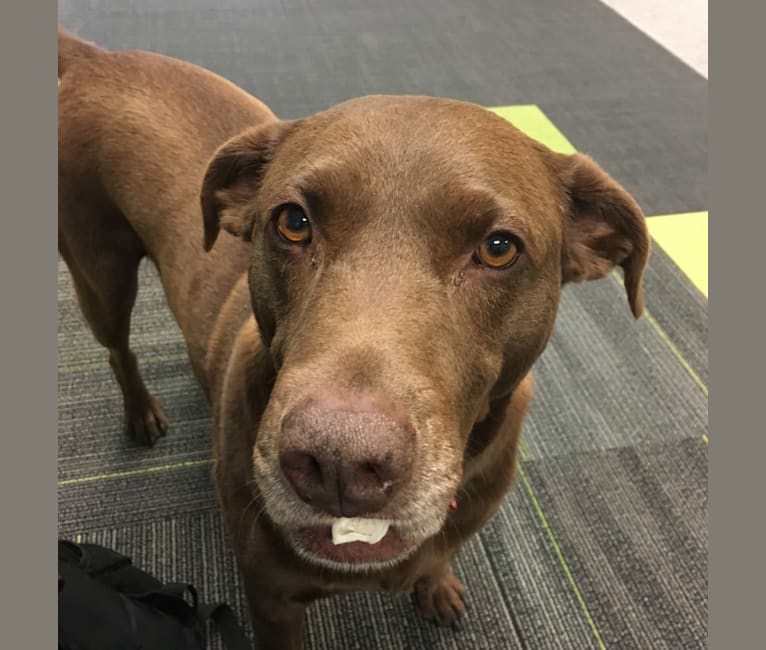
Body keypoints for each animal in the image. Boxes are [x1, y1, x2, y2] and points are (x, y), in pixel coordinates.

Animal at [57, 27, 652, 644]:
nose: (339, 463)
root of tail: (97, 58)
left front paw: (436, 585)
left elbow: (437, 557)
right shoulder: (271, 601)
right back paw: (141, 412)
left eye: (498, 248)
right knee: (118, 348)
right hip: (100, 272)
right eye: (293, 222)